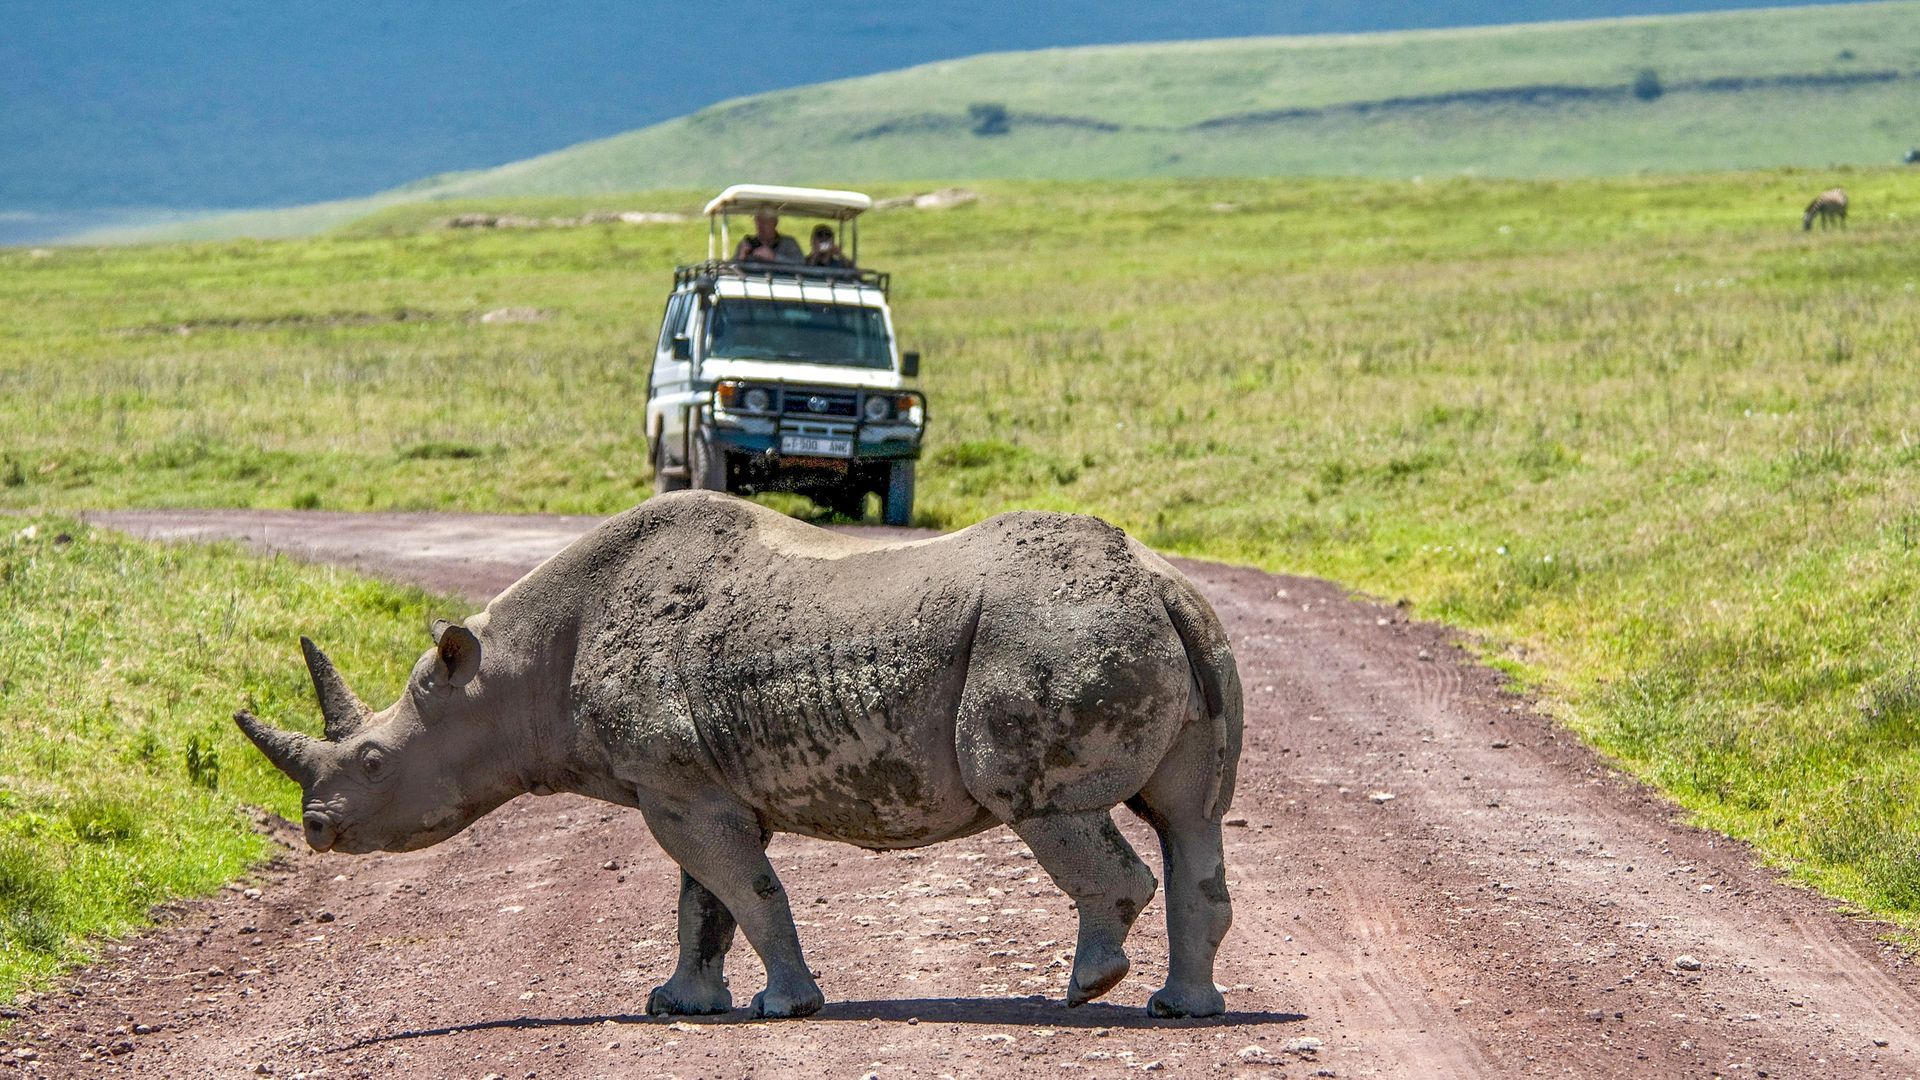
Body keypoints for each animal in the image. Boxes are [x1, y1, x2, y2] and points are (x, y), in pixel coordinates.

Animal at [235, 491, 1243, 1019]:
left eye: (373, 762)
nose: (314, 826)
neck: (511, 674)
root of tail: (1164, 586)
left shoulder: (679, 786)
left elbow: (747, 893)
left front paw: (786, 1008)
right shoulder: (685, 783)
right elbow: (703, 905)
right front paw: (677, 1004)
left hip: (1050, 635)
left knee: (1043, 806)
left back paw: (1085, 991)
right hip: (1174, 632)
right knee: (1190, 821)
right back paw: (1179, 1009)